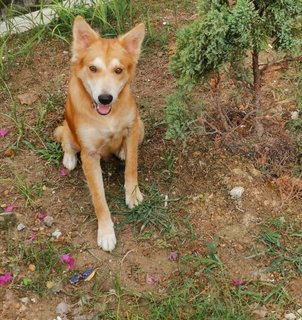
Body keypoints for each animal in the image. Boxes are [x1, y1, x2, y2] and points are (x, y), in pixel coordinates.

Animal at [54, 16, 146, 252]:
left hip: (142, 126)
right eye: (93, 68)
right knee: (65, 141)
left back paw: (121, 152)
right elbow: (99, 198)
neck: (107, 116)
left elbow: (131, 167)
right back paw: (69, 159)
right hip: (67, 131)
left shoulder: (132, 129)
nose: (105, 98)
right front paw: (106, 232)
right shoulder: (89, 155)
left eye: (118, 70)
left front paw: (132, 194)